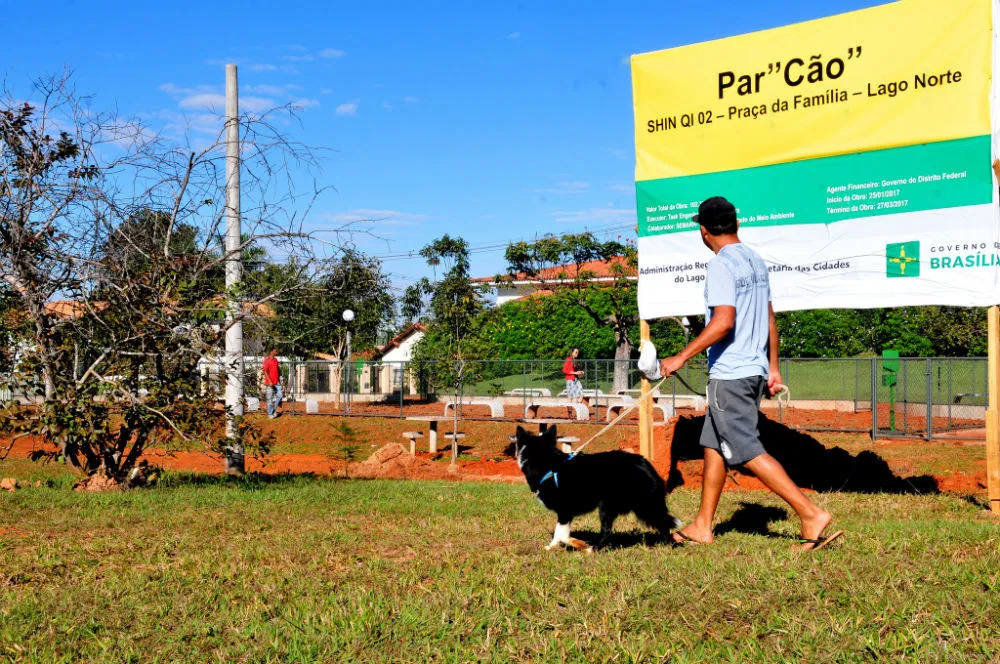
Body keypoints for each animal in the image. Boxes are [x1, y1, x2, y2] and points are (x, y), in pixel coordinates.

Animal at [516, 426, 680, 548]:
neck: (548, 463)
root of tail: (646, 464)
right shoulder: (567, 514)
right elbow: (561, 534)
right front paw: (556, 546)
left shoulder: (565, 510)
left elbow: (560, 533)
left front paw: (569, 545)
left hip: (627, 506)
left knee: (610, 530)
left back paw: (594, 549)